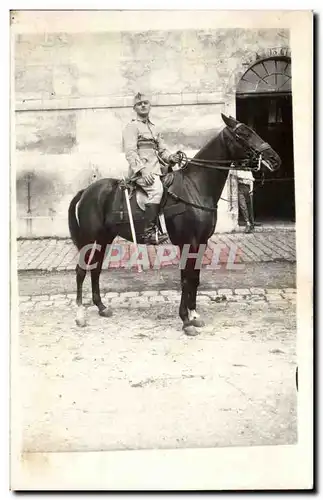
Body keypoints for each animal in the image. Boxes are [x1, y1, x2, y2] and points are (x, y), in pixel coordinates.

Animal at [67, 114, 280, 336]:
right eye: (244, 134)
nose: (274, 159)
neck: (195, 187)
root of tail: (87, 191)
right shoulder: (188, 242)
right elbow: (187, 278)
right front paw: (186, 321)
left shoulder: (201, 242)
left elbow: (194, 277)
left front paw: (194, 315)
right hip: (90, 239)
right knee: (81, 270)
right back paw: (80, 315)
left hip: (104, 238)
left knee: (96, 268)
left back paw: (101, 307)